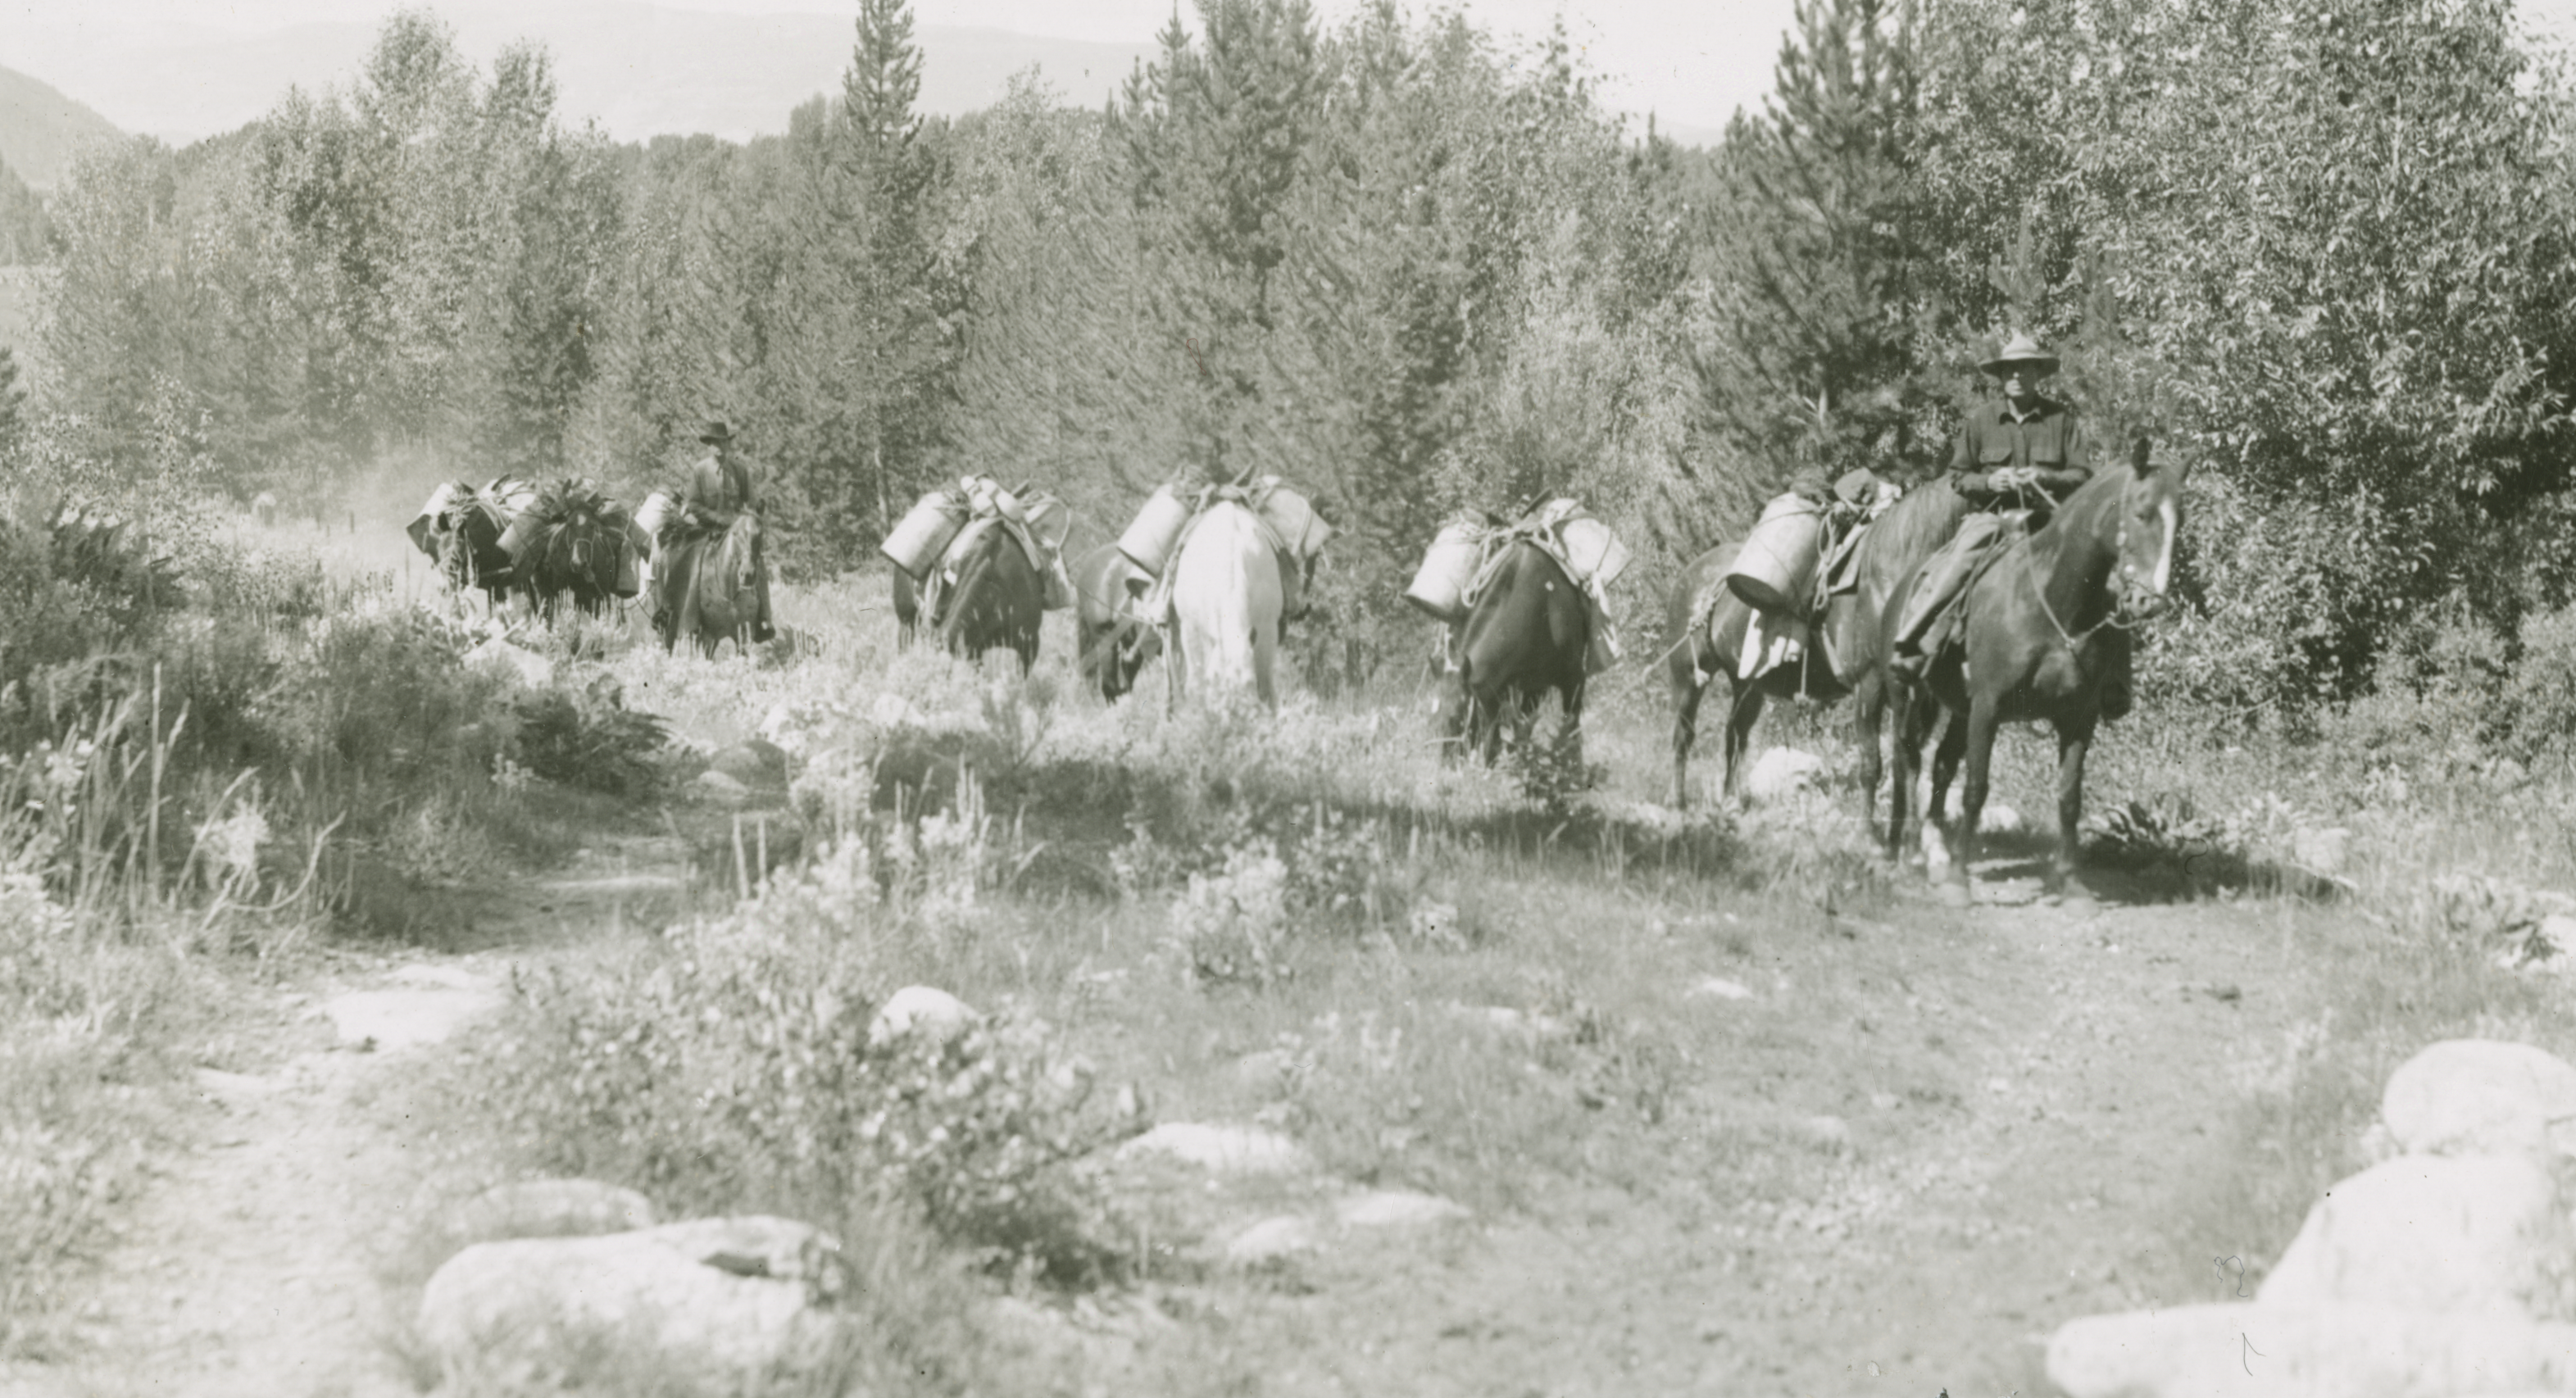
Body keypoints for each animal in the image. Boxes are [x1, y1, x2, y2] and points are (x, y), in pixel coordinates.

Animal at [1169, 504, 1288, 710]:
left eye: (1250, 684)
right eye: (1219, 685)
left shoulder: (1267, 629)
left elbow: (1267, 688)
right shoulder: (1194, 631)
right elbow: (1198, 685)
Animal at [1659, 542, 1865, 808]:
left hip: (1746, 685)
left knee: (1735, 735)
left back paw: (1732, 798)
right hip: (1687, 679)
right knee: (1683, 735)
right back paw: (1676, 799)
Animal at [1875, 438, 2194, 906]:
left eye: (2180, 519)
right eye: (2141, 512)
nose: (2148, 602)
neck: (2051, 602)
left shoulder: (2078, 716)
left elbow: (2069, 797)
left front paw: (2070, 881)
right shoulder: (1988, 708)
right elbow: (1976, 791)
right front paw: (1959, 882)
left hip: (1959, 710)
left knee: (1941, 765)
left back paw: (1934, 852)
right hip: (1907, 696)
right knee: (1907, 761)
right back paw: (1908, 852)